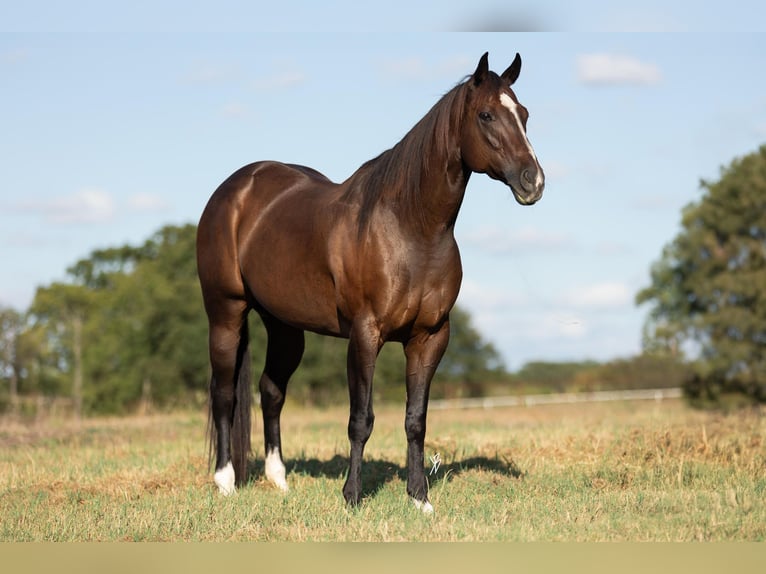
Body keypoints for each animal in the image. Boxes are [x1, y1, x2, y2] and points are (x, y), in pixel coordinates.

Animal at [198, 53, 544, 512]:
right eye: (486, 115)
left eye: (524, 114)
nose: (533, 181)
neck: (410, 228)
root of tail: (234, 190)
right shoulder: (365, 334)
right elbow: (360, 420)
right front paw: (352, 496)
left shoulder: (430, 337)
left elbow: (416, 420)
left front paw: (419, 498)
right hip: (226, 312)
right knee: (224, 393)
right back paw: (225, 480)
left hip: (284, 326)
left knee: (271, 390)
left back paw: (278, 479)